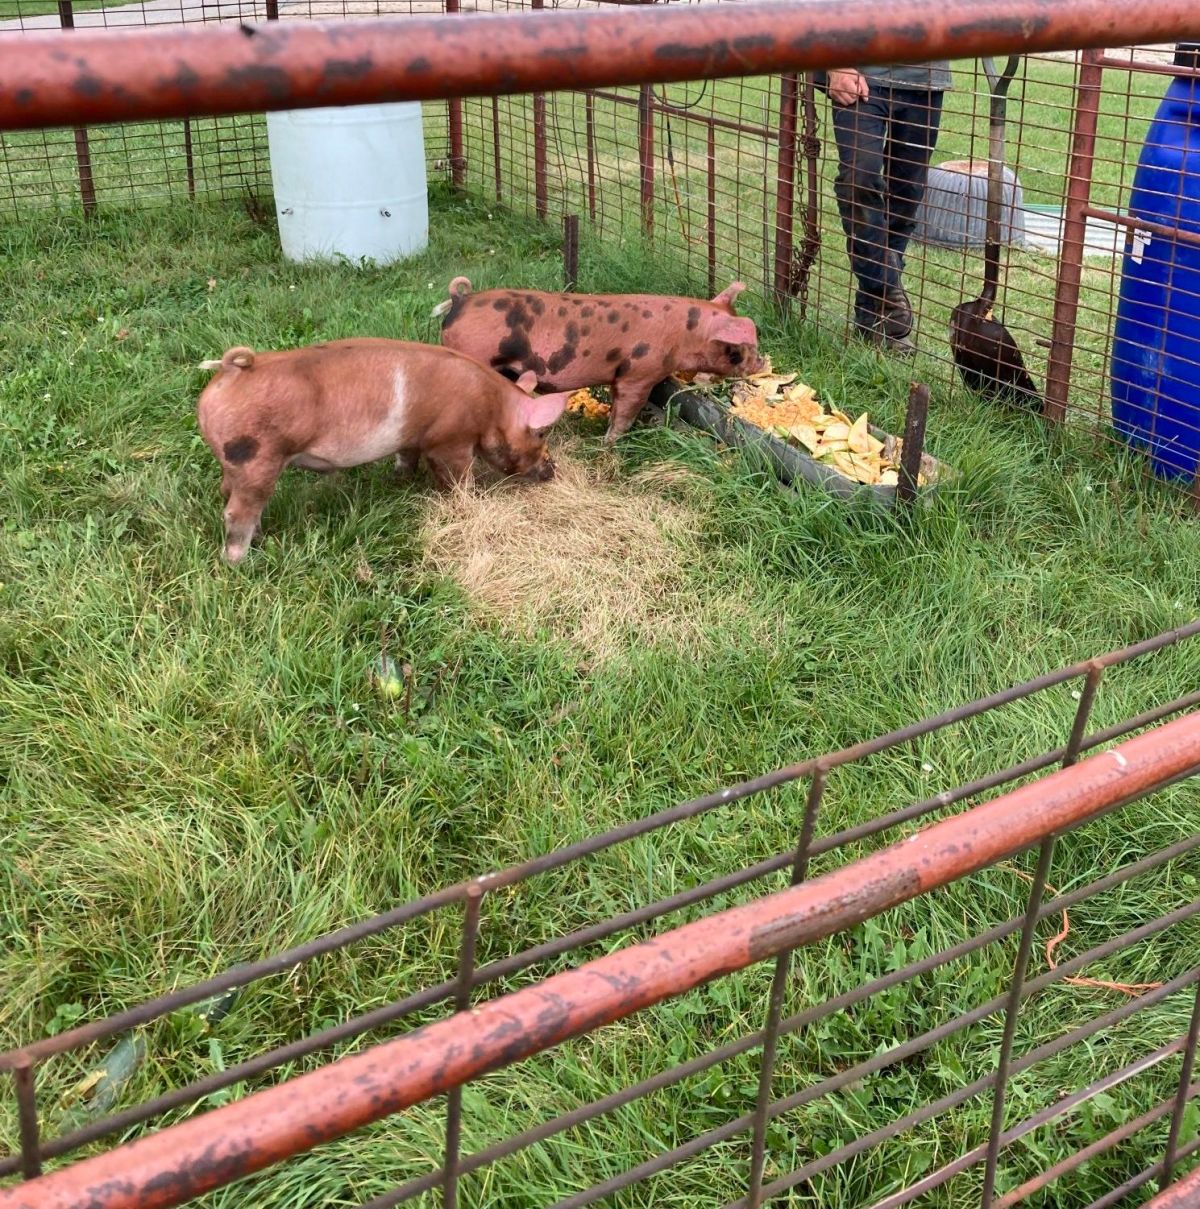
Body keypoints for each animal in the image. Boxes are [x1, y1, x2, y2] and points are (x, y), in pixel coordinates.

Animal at [196, 337, 570, 564]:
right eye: (540, 433)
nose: (552, 470)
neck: (492, 405)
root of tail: (231, 371)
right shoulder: (452, 441)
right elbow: (459, 476)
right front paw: (469, 500)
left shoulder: (412, 440)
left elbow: (407, 459)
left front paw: (401, 481)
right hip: (257, 458)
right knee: (236, 512)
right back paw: (240, 561)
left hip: (236, 462)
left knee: (226, 492)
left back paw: (261, 539)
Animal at [433, 276, 765, 443]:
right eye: (737, 348)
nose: (760, 363)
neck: (685, 334)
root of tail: (460, 300)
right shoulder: (639, 374)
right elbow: (626, 412)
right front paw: (609, 443)